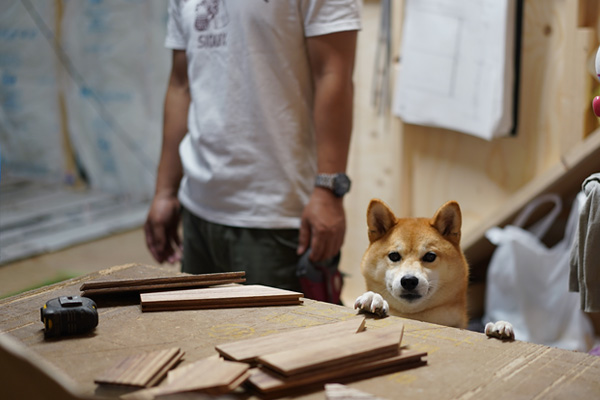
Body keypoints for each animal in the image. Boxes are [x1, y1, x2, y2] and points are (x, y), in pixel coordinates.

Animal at [354, 198, 512, 340]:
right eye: (394, 256)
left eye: (430, 256)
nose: (409, 280)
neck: (416, 317)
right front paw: (373, 298)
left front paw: (499, 326)